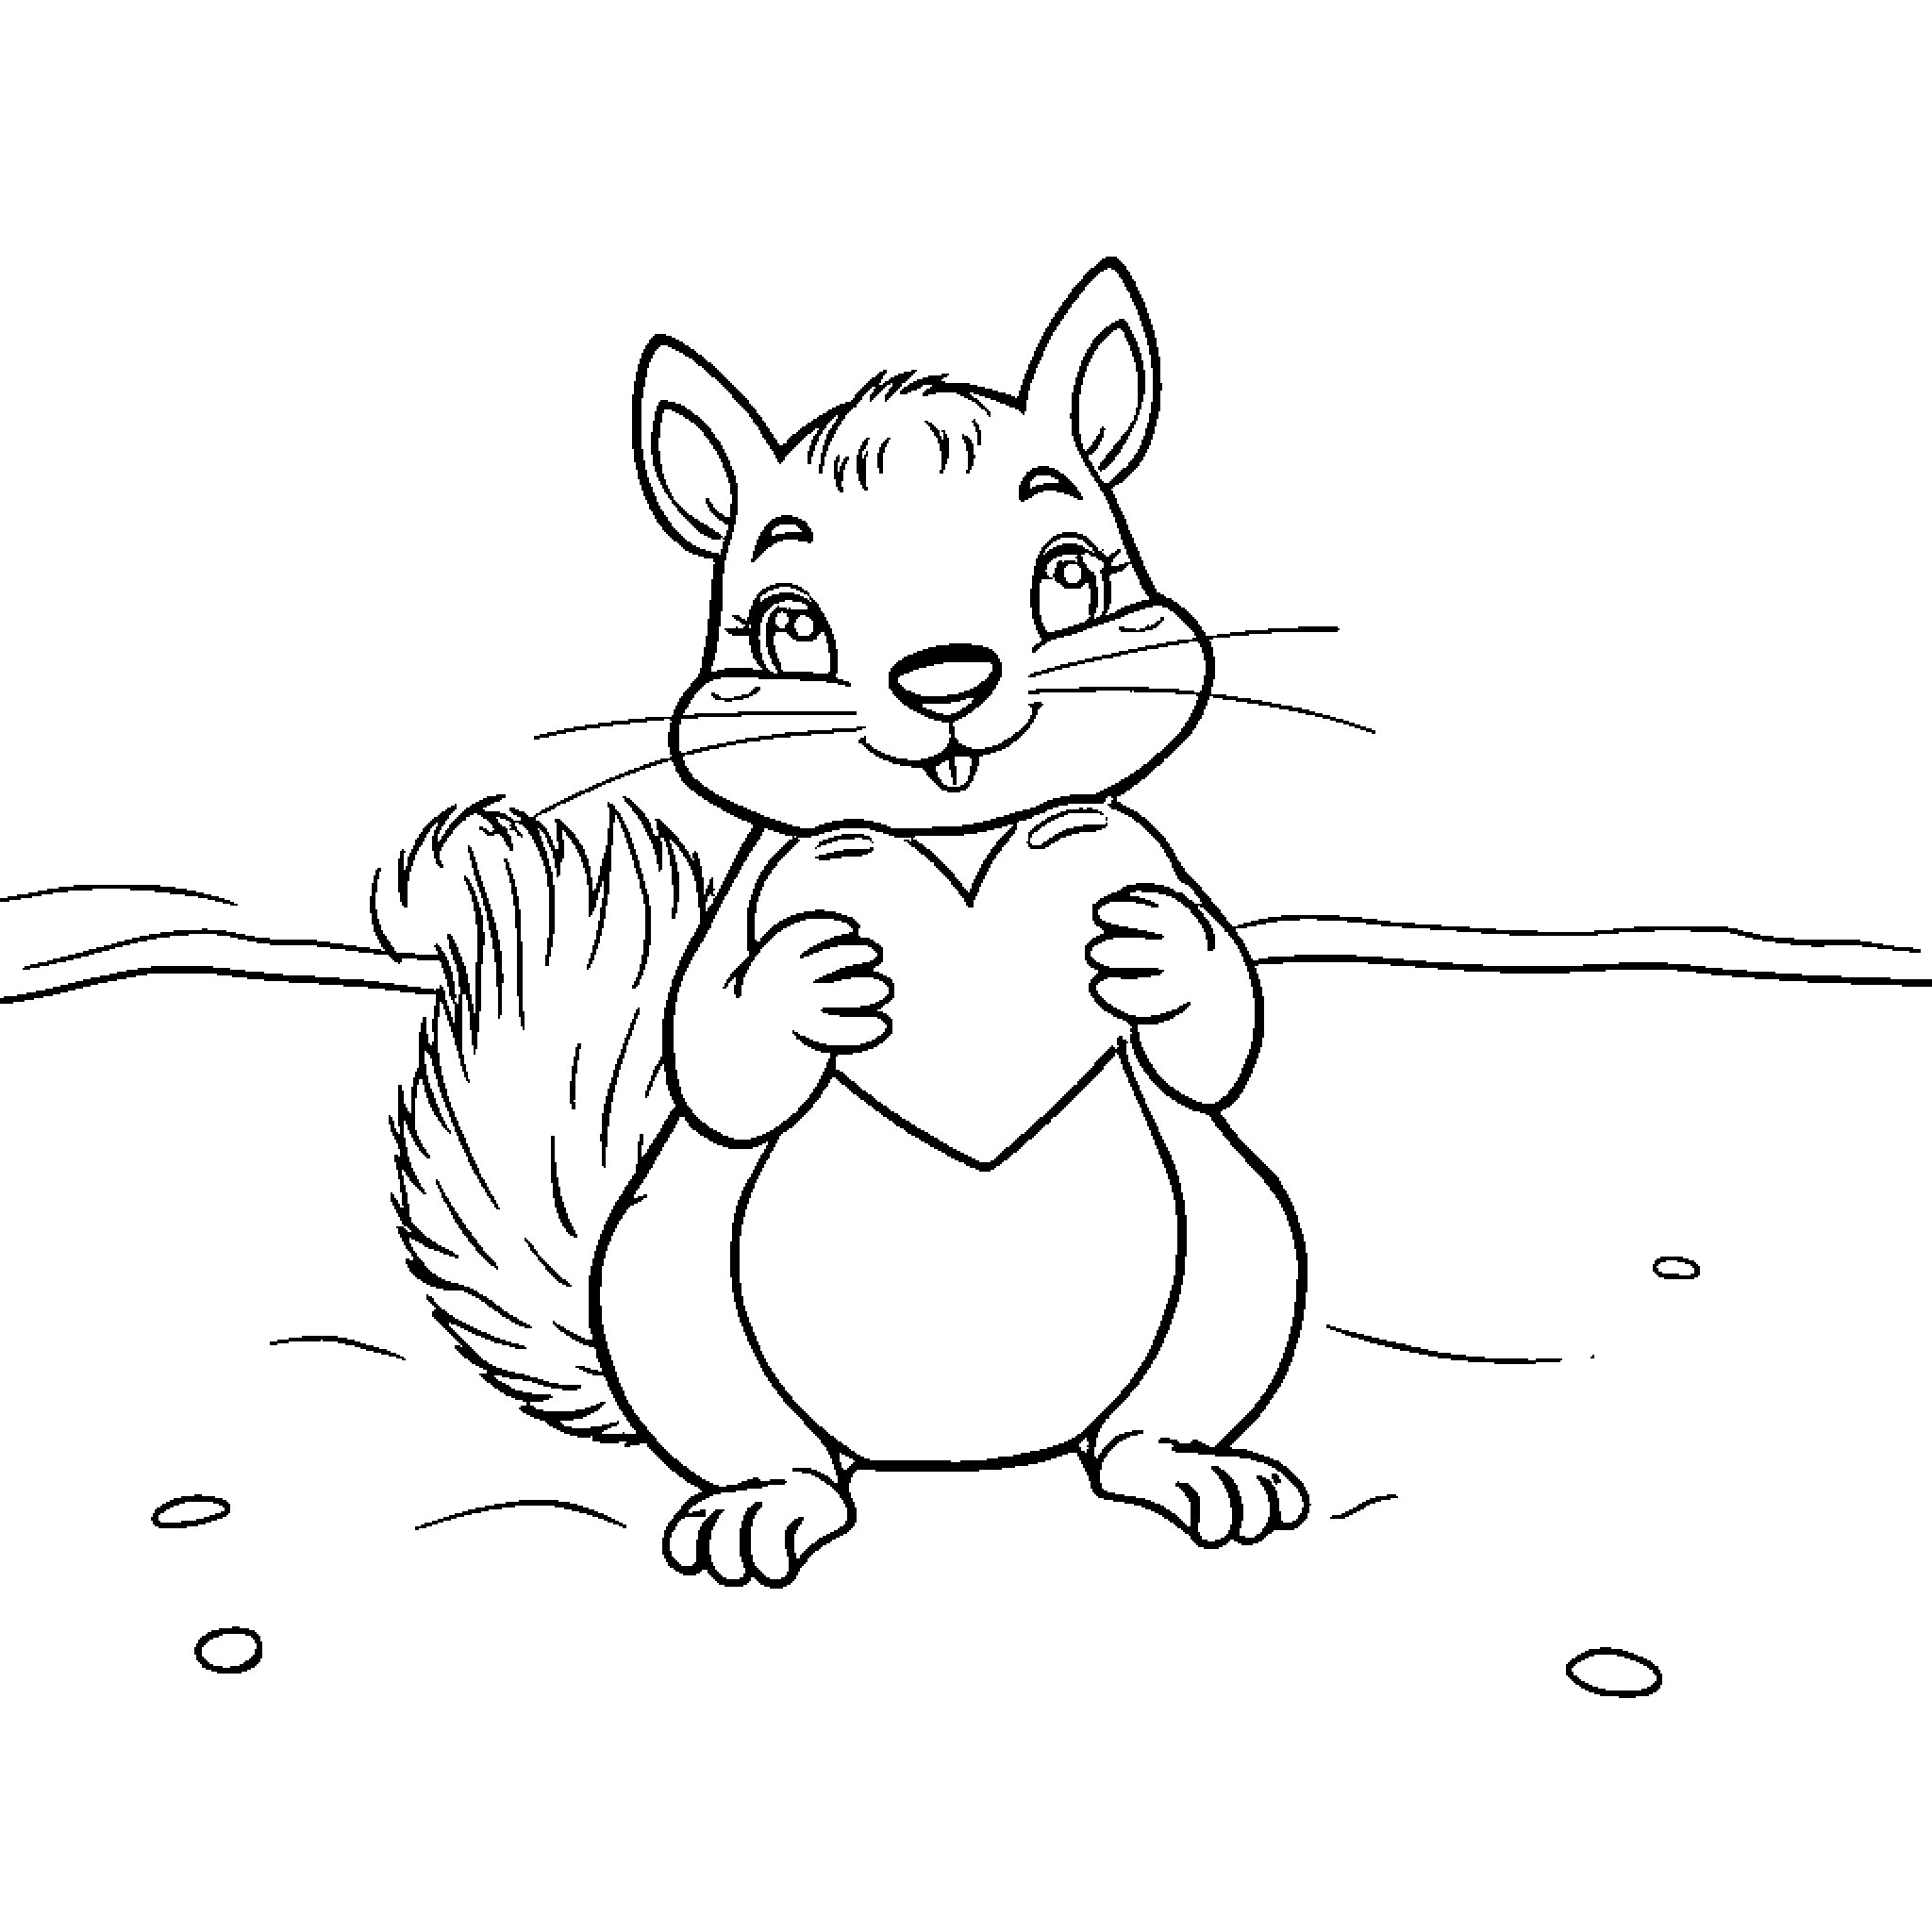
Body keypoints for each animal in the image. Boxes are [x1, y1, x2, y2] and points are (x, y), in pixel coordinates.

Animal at [375, 261, 1309, 1586]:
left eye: (1072, 574)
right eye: (787, 624)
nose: (946, 677)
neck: (957, 847)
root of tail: (951, 1453)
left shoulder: (1140, 851)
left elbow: (1220, 1040)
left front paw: (1157, 950)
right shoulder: (751, 903)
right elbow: (714, 1059)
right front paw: (810, 980)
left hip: (1242, 1253)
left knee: (1138, 1430)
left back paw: (1188, 1464)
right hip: (670, 1299)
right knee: (776, 1452)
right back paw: (765, 1502)